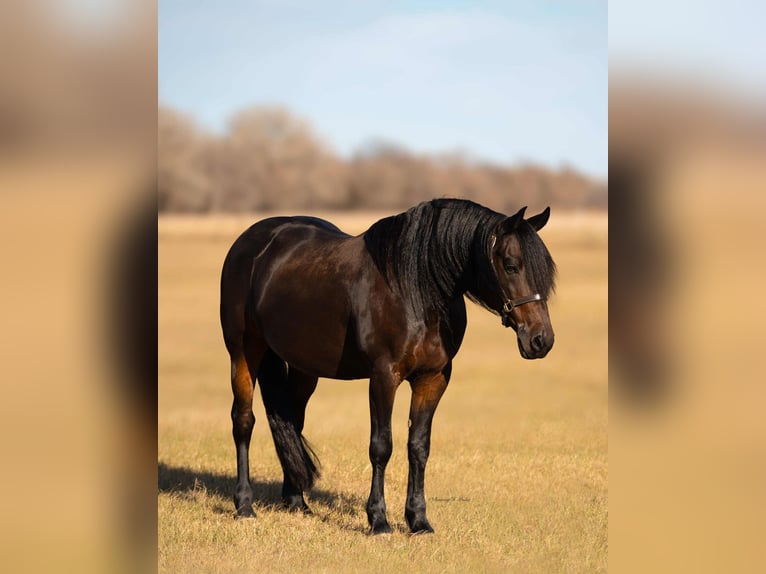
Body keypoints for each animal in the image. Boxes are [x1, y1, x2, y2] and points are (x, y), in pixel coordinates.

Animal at [219, 198, 556, 534]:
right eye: (511, 265)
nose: (542, 340)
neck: (416, 292)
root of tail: (251, 242)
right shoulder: (384, 376)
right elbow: (381, 446)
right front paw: (378, 520)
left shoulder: (432, 379)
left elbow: (418, 447)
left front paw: (418, 520)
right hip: (244, 352)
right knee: (243, 421)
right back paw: (244, 505)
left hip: (304, 367)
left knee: (292, 422)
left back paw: (296, 501)